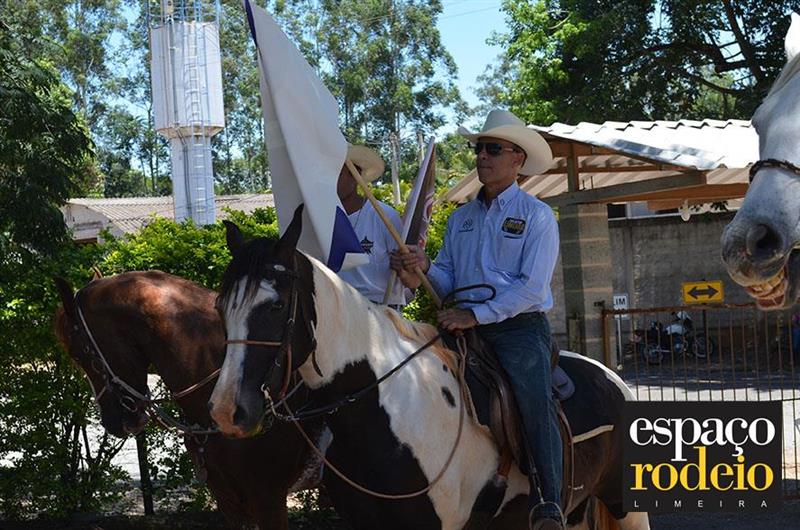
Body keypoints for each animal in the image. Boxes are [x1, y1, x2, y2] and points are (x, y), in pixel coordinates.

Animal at [207, 206, 650, 530]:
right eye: (221, 306)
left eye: (276, 305)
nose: (227, 410)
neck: (390, 410)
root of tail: (612, 377)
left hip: (625, 507)